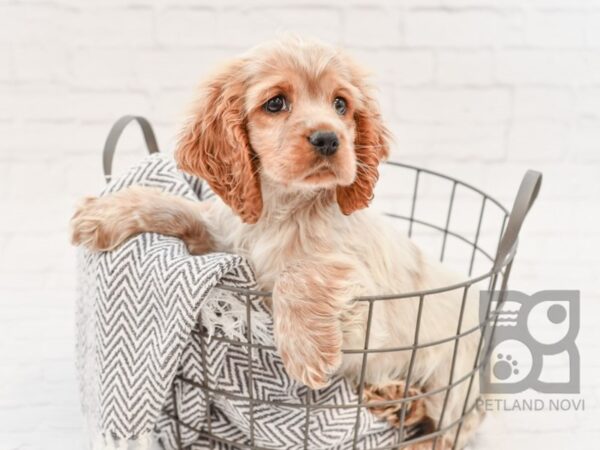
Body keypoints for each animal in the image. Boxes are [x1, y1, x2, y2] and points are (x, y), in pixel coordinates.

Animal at [71, 38, 482, 450]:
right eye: (275, 103)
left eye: (341, 105)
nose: (329, 138)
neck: (282, 209)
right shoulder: (223, 237)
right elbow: (183, 208)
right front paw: (105, 212)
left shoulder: (364, 318)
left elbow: (298, 271)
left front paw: (305, 350)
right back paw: (393, 401)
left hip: (451, 380)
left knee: (449, 429)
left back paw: (403, 412)